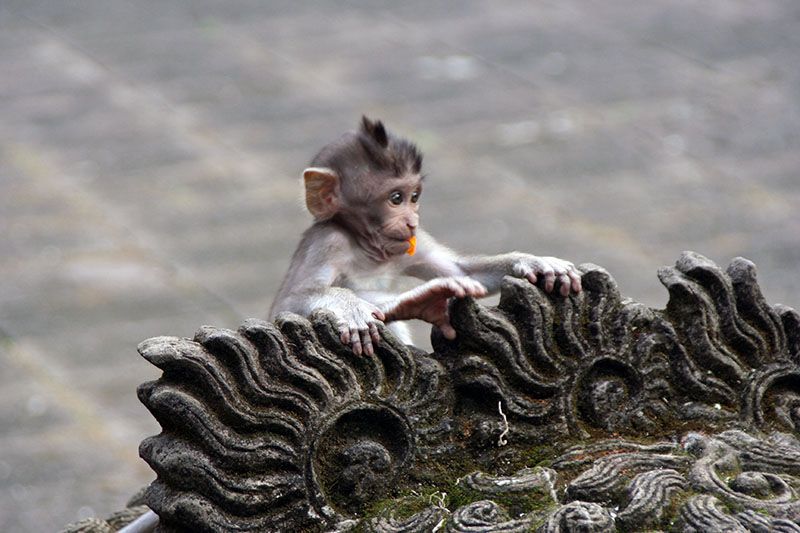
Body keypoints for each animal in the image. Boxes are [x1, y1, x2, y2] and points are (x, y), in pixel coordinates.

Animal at [269, 117, 582, 356]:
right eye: (396, 199)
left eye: (414, 197)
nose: (412, 221)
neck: (367, 249)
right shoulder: (327, 242)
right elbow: (288, 305)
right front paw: (354, 306)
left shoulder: (414, 243)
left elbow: (462, 273)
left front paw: (534, 262)